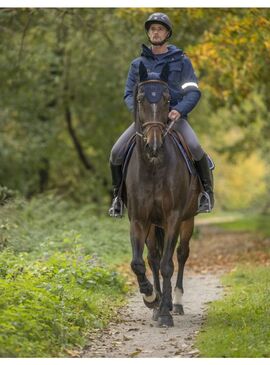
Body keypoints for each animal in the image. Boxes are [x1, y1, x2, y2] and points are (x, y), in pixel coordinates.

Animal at [125, 61, 200, 326]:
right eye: (139, 98)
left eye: (167, 98)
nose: (154, 145)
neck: (154, 167)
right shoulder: (139, 219)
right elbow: (139, 262)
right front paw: (151, 298)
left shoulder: (173, 218)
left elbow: (169, 265)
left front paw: (166, 312)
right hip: (153, 225)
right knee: (154, 258)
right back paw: (158, 305)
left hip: (187, 221)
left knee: (181, 255)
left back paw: (174, 303)